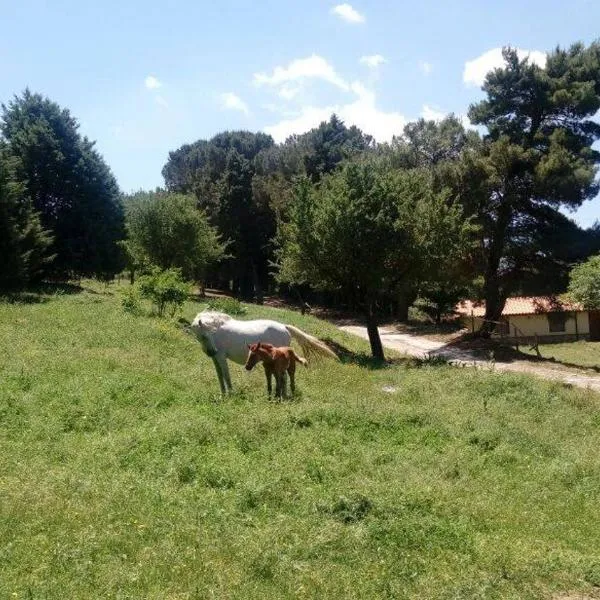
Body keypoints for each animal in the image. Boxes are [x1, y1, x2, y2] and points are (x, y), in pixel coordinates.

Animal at [190, 312, 336, 396]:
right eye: (204, 335)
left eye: (209, 334)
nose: (211, 351)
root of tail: (284, 327)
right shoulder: (215, 359)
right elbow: (220, 376)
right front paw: (222, 395)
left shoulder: (221, 357)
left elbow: (226, 376)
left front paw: (230, 394)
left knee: (284, 377)